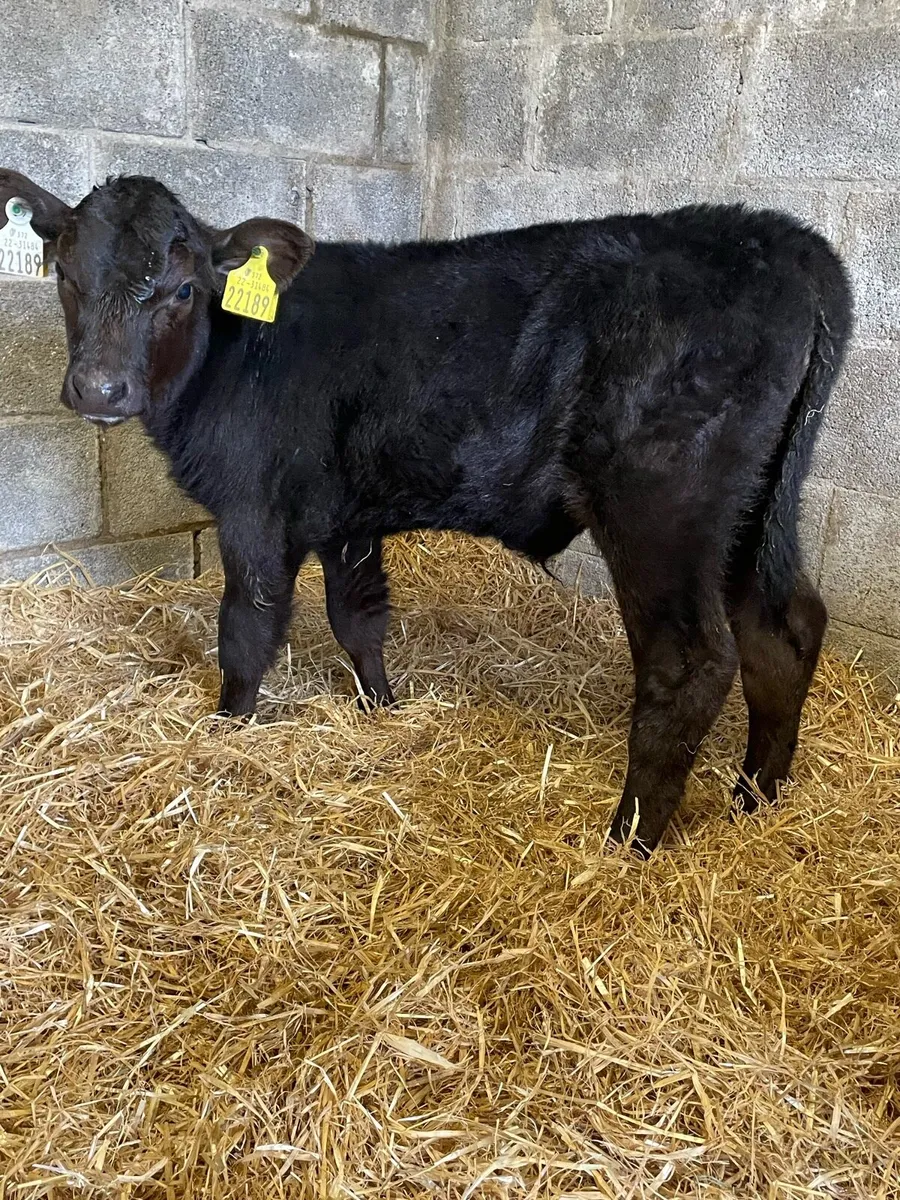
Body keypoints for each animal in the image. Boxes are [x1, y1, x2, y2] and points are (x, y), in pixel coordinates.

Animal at [0, 168, 853, 856]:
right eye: (64, 273)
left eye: (182, 290)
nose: (99, 388)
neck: (237, 351)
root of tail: (784, 238)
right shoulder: (348, 516)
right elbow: (359, 618)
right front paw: (382, 709)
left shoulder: (252, 509)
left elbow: (247, 630)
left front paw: (227, 731)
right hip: (760, 508)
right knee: (784, 627)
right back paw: (756, 800)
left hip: (662, 506)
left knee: (692, 660)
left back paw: (629, 839)